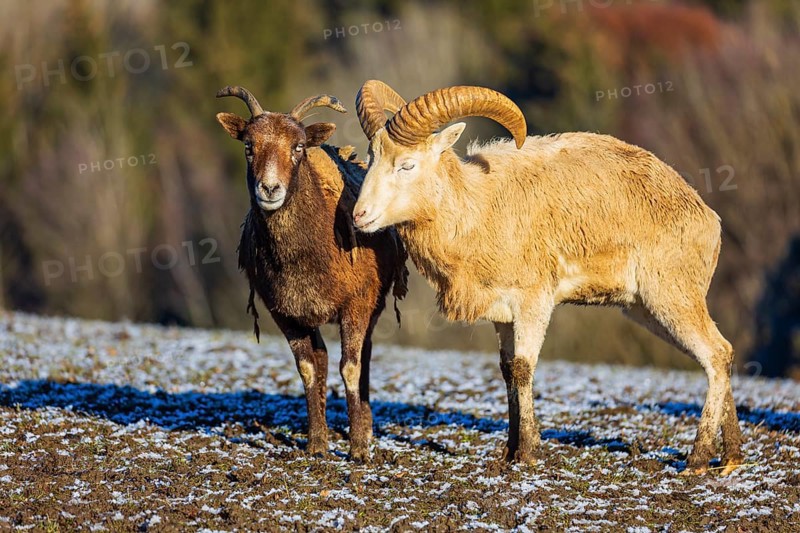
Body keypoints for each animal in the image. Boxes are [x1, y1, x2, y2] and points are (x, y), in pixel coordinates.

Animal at [215, 85, 408, 461]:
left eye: (299, 147)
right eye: (248, 146)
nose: (269, 189)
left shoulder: (355, 304)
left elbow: (350, 368)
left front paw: (358, 449)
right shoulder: (285, 311)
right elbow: (307, 368)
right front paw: (317, 445)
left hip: (371, 306)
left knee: (363, 356)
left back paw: (365, 428)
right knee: (322, 357)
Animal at [351, 80, 743, 474]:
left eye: (407, 165)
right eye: (372, 158)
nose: (359, 216)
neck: (479, 207)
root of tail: (707, 218)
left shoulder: (533, 301)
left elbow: (524, 368)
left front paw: (527, 453)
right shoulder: (503, 314)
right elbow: (507, 369)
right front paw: (508, 452)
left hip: (672, 297)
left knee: (716, 354)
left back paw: (697, 460)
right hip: (645, 309)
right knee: (719, 355)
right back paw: (731, 458)